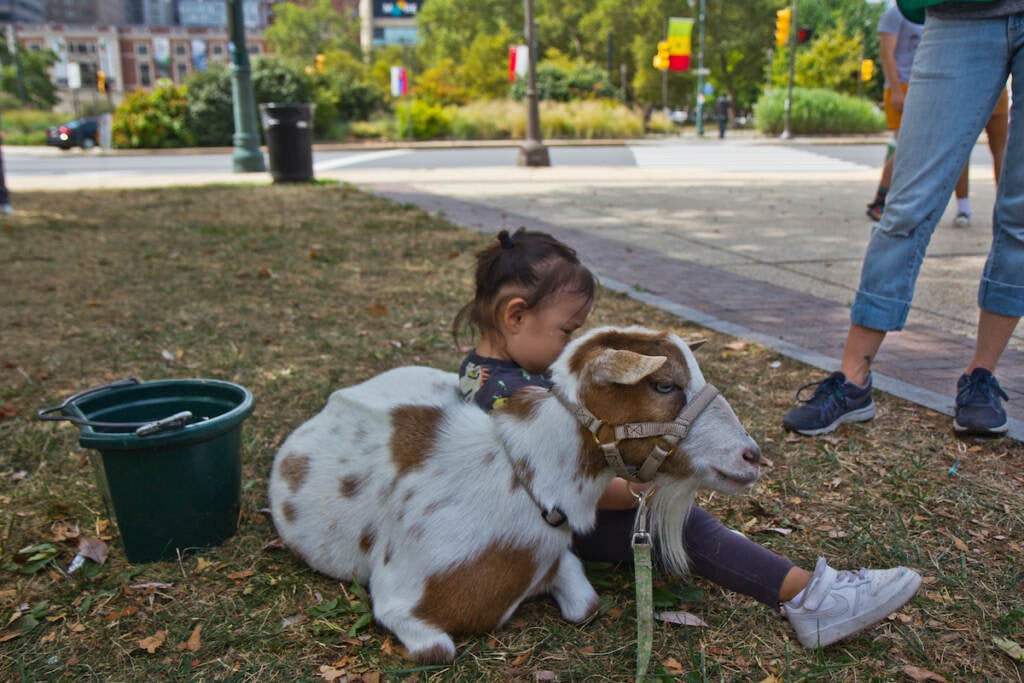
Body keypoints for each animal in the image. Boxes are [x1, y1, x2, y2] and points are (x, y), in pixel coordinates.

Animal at [268, 325, 765, 663]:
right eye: (664, 385)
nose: (753, 456)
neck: (525, 485)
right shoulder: (398, 598)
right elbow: (437, 649)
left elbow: (586, 604)